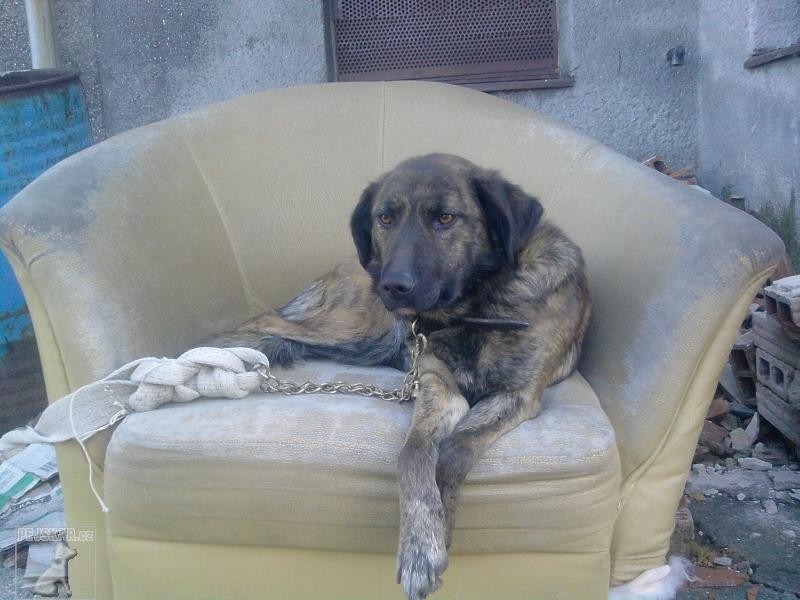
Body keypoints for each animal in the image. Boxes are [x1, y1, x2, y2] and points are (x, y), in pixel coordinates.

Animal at [206, 153, 591, 599]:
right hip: (357, 328)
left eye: (445, 218)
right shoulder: (438, 384)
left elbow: (455, 449)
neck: (474, 307)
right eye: (385, 218)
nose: (392, 285)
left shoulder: (516, 396)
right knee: (266, 321)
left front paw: (436, 530)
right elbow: (412, 454)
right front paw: (422, 545)